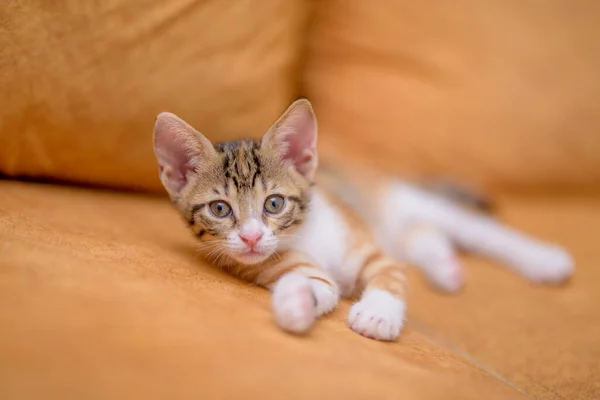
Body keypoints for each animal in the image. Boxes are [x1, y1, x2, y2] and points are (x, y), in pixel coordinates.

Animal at [152, 99, 576, 340]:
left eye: (273, 204)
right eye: (220, 209)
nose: (252, 238)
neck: (305, 236)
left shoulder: (365, 245)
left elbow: (389, 275)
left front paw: (378, 314)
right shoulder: (275, 264)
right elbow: (319, 288)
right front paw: (295, 303)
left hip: (392, 199)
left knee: (472, 228)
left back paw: (544, 260)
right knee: (419, 235)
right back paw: (445, 267)